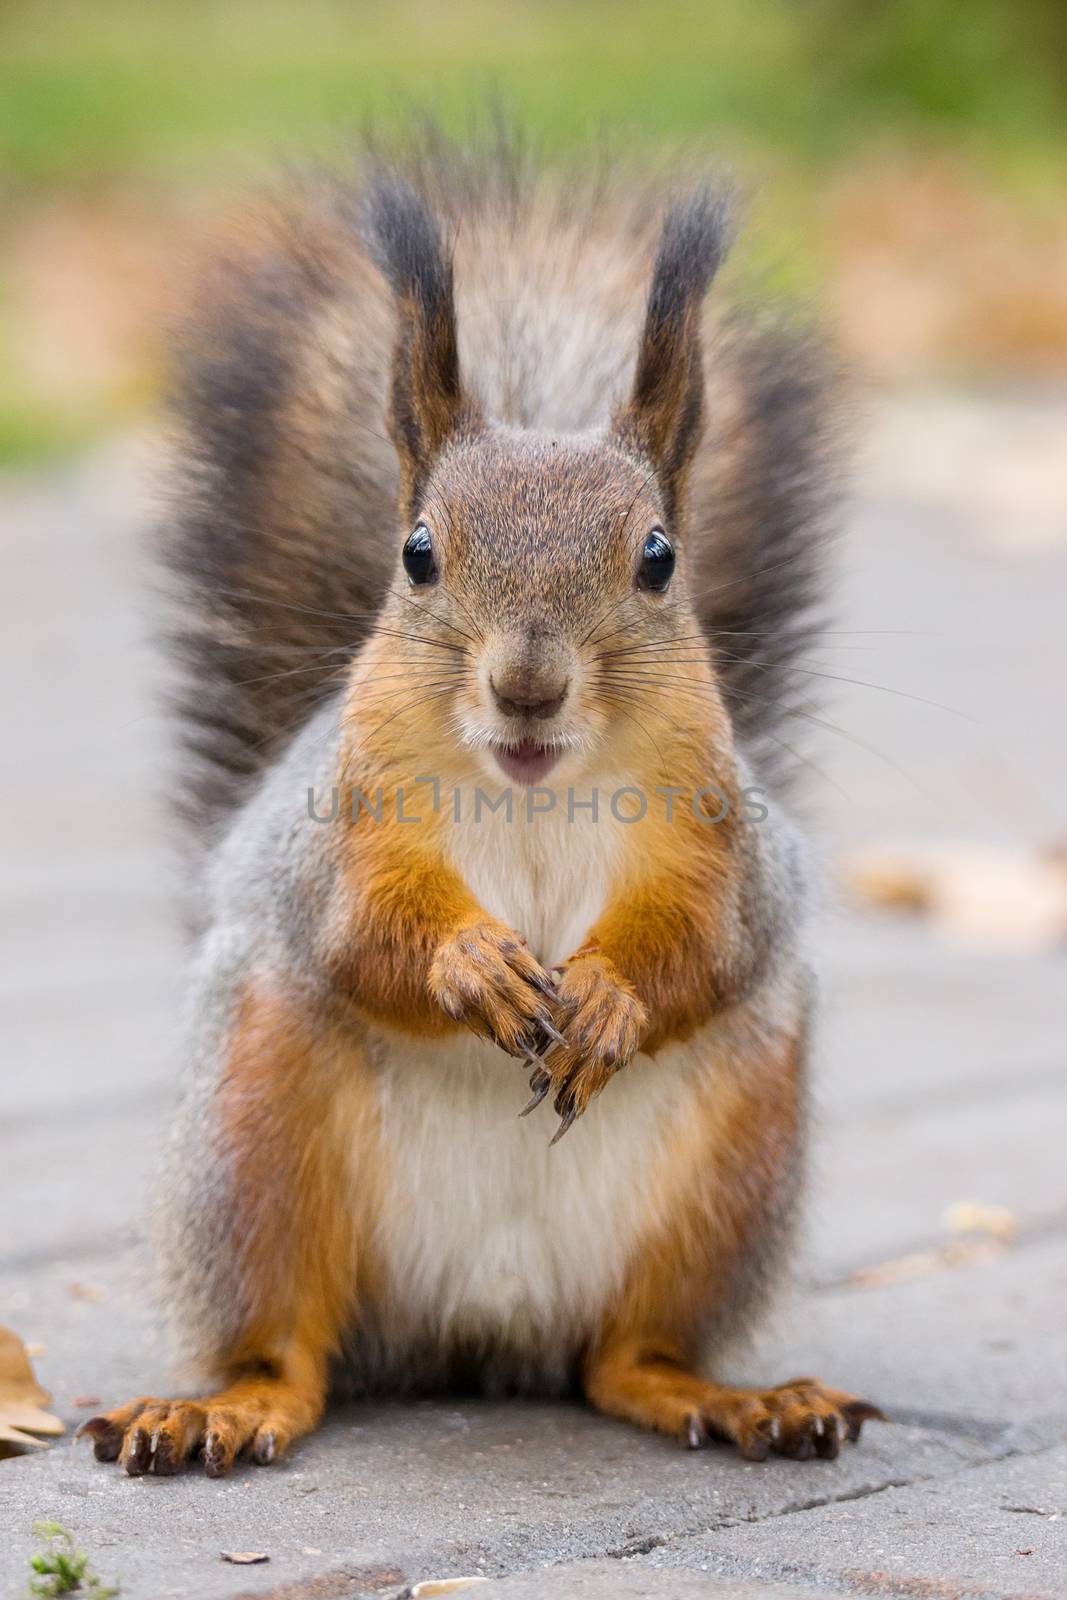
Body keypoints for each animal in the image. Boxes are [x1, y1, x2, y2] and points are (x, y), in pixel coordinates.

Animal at [85, 134, 883, 1472]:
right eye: (417, 552)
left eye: (658, 557)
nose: (525, 685)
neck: (534, 792)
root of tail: (482, 1329)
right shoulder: (342, 831)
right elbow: (365, 936)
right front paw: (473, 968)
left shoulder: (719, 843)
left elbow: (704, 947)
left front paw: (607, 998)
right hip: (255, 1138)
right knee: (292, 1348)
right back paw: (224, 1406)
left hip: (732, 1166)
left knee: (623, 1357)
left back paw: (730, 1396)